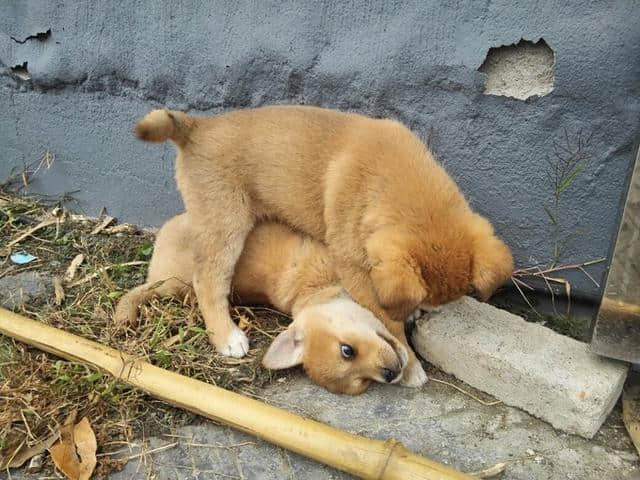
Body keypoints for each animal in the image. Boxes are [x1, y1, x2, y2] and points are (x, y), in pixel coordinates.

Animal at [135, 105, 516, 386]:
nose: (423, 314)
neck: (400, 183)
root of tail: (197, 126)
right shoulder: (354, 267)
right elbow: (385, 322)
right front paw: (410, 366)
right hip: (225, 226)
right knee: (207, 280)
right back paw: (227, 337)